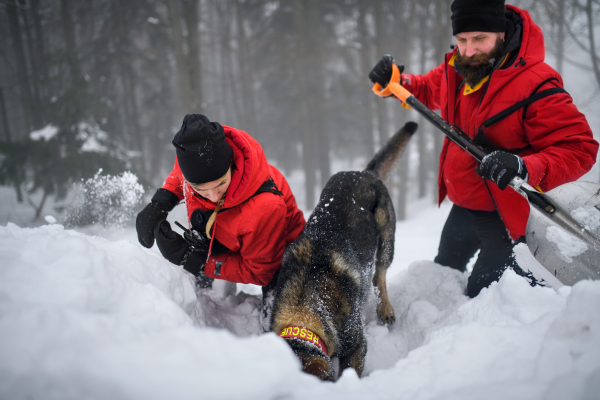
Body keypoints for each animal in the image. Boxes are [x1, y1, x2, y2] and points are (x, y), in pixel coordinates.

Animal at [270, 122, 418, 382]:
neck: (303, 307)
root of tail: (365, 173)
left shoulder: (356, 345)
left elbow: (350, 370)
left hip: (386, 238)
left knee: (380, 275)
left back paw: (385, 309)